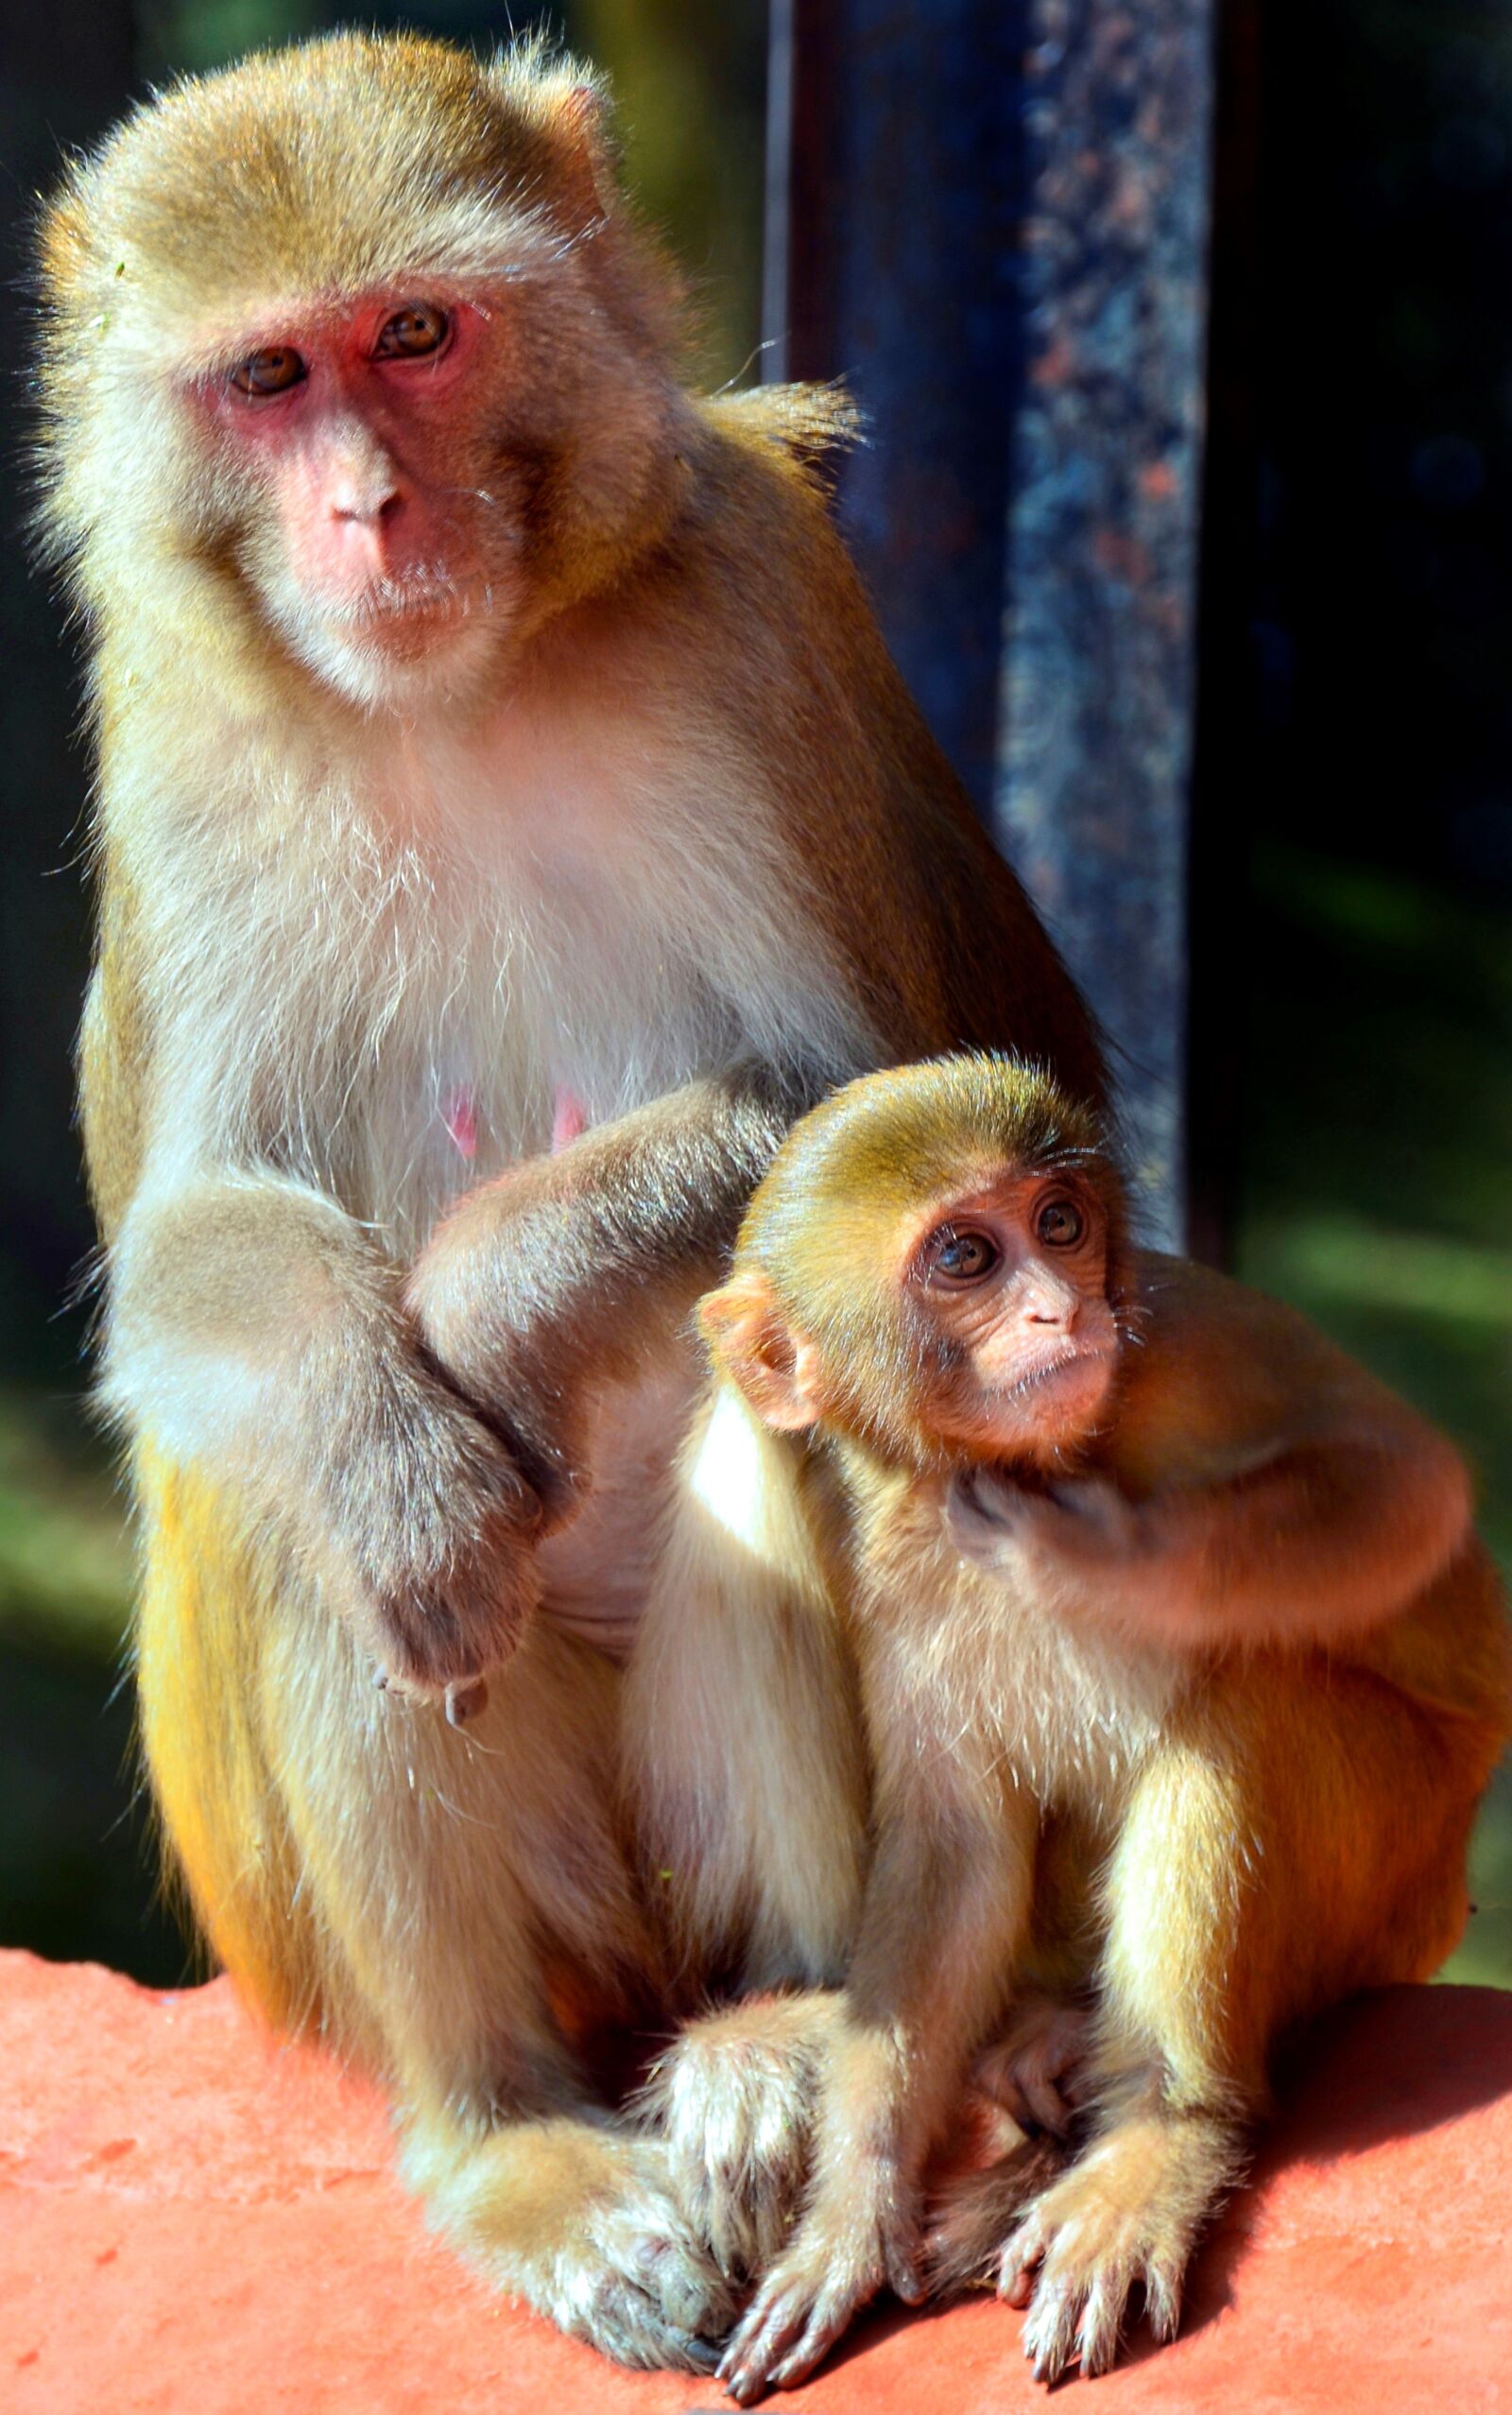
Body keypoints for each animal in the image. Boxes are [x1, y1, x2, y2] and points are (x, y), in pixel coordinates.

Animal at [35, 36, 1107, 2369]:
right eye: (272, 376)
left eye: (419, 336)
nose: (369, 508)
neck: (456, 695)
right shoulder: (173, 750)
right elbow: (190, 1250)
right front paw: (404, 1434)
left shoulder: (752, 618)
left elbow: (870, 1117)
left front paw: (493, 1302)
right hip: (330, 1944)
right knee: (296, 1494)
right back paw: (509, 2130)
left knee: (765, 1384)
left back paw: (781, 2030)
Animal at [622, 1054, 1509, 2394]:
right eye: (965, 1256)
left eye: (1058, 1223)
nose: (1058, 1311)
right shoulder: (891, 1543)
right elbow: (954, 1847)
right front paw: (850, 2212)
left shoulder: (1187, 1340)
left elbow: (1399, 1483)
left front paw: (1097, 1556)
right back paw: (1054, 2028)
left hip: (1398, 1881)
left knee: (1242, 1707)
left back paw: (1161, 2133)